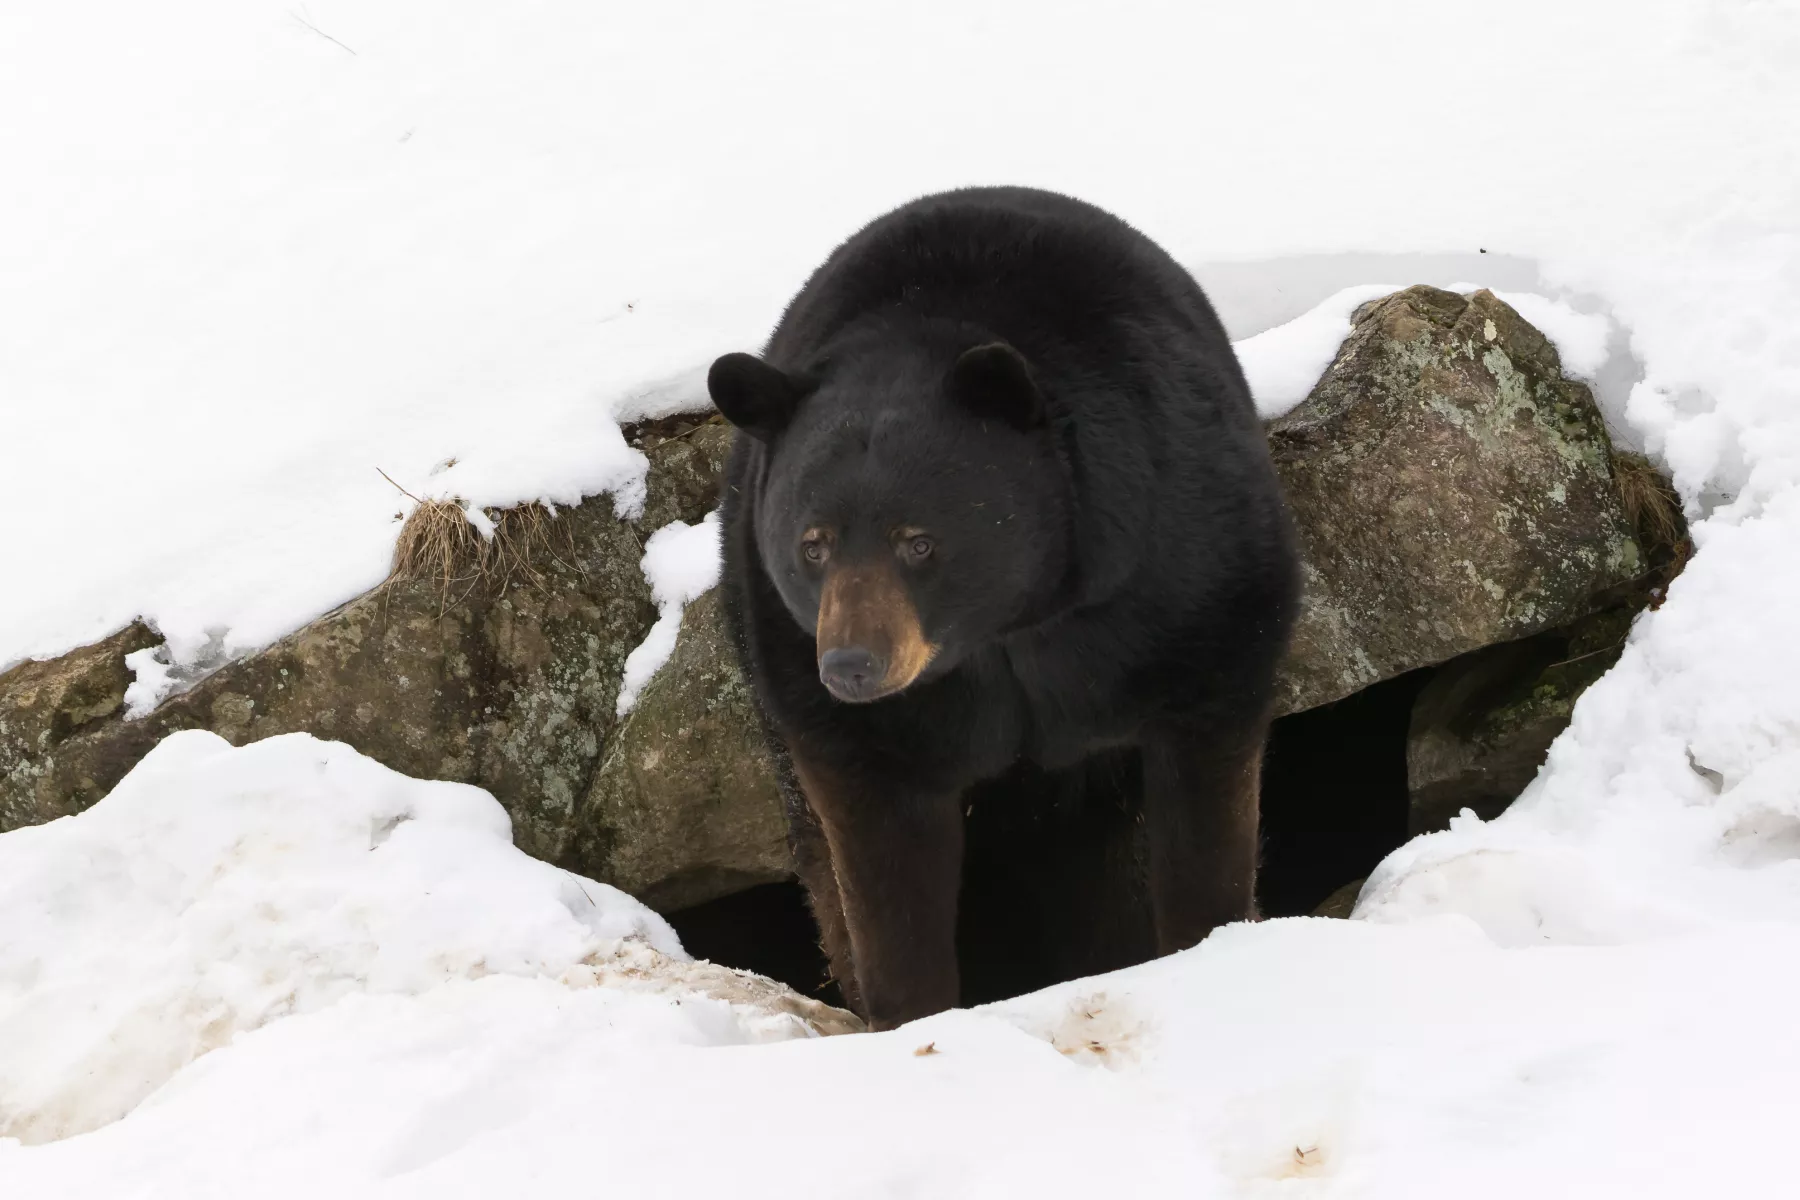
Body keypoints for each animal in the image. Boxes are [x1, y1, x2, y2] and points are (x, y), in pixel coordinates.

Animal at [708, 186, 1300, 1030]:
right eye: (812, 545)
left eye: (919, 541)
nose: (853, 665)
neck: (1007, 630)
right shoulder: (817, 675)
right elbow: (881, 845)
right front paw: (911, 1012)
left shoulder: (1180, 571)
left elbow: (1207, 754)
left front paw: (1213, 948)